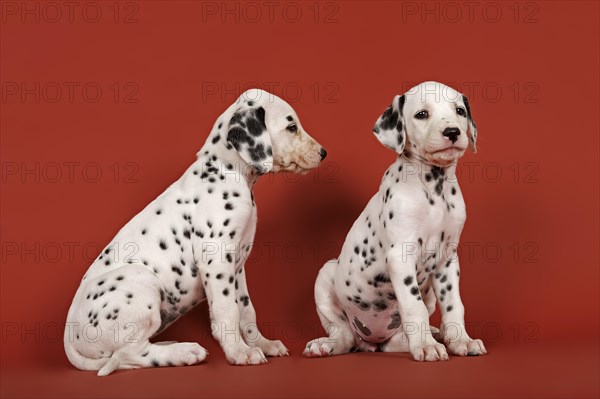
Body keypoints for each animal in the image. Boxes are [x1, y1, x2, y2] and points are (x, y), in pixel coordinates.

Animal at [64, 89, 328, 376]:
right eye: (292, 127)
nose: (323, 153)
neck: (226, 170)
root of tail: (70, 341)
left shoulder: (237, 266)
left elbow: (246, 310)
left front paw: (262, 344)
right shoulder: (216, 261)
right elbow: (228, 311)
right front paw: (239, 353)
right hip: (141, 280)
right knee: (128, 354)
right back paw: (184, 352)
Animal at [304, 81, 488, 362]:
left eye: (459, 111)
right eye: (422, 114)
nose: (452, 132)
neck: (434, 189)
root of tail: (371, 343)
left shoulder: (447, 260)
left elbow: (454, 305)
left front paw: (461, 341)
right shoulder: (401, 256)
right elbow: (414, 306)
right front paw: (426, 346)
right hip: (326, 275)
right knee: (343, 335)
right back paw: (326, 345)